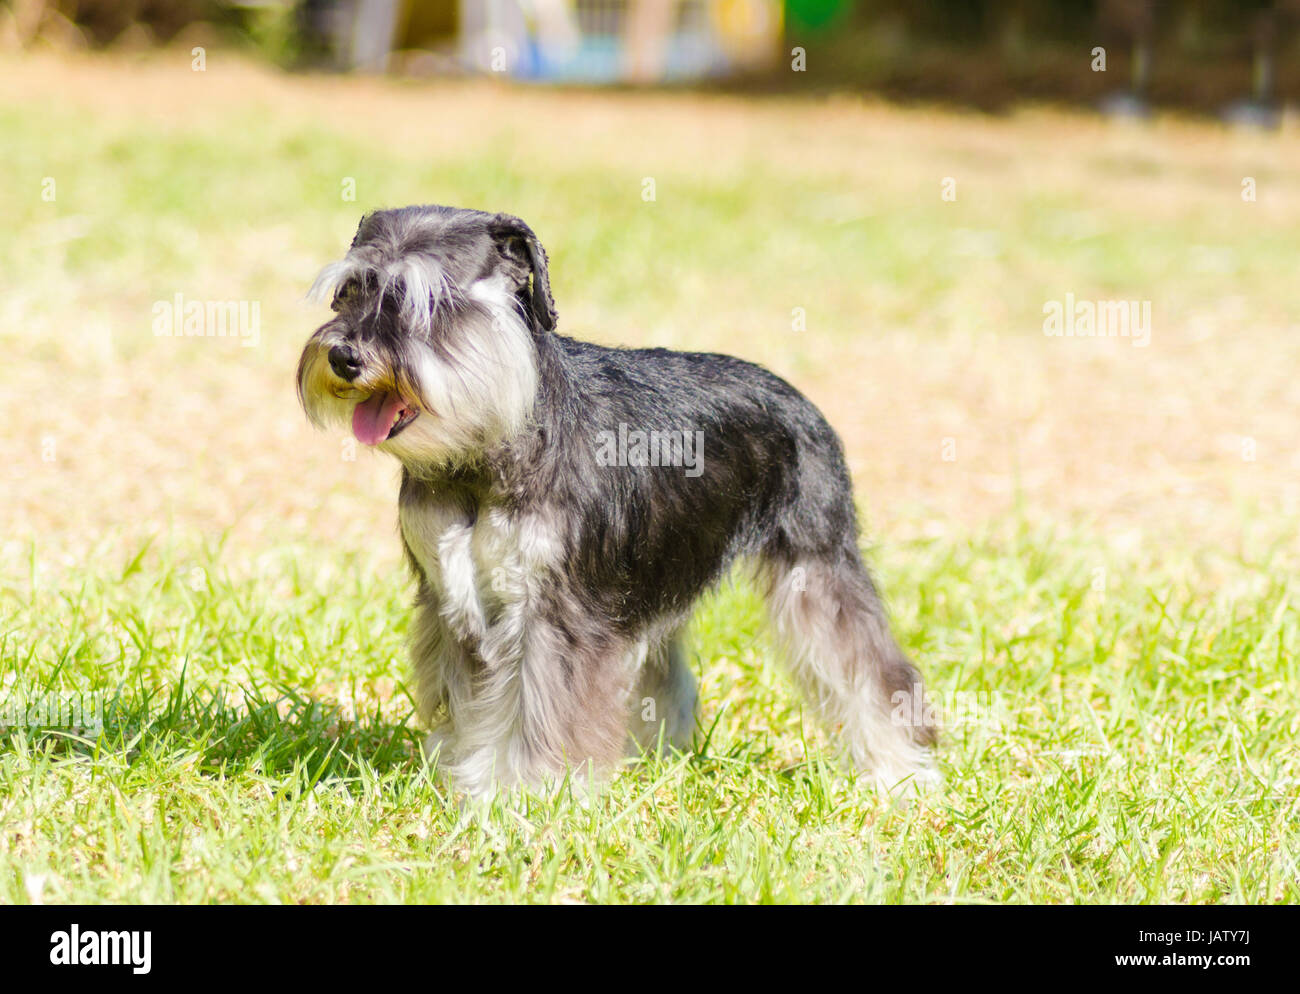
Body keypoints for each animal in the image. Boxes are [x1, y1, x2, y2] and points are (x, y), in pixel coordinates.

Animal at [299, 205, 941, 795]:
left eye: (429, 300)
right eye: (348, 291)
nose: (344, 357)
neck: (486, 449)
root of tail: (798, 399)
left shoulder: (554, 613)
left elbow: (533, 712)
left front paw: (520, 794)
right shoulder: (454, 602)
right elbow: (469, 705)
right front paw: (462, 777)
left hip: (817, 570)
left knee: (871, 671)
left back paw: (901, 771)